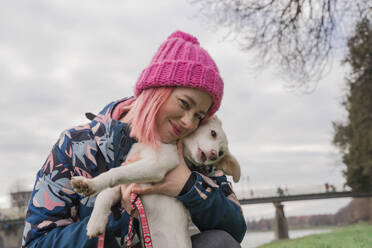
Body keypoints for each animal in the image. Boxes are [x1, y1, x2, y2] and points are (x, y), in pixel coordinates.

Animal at [71, 116, 241, 248]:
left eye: (221, 153)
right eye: (213, 133)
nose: (213, 155)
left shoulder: (155, 166)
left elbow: (115, 173)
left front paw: (90, 184)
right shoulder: (127, 180)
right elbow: (105, 194)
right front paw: (95, 222)